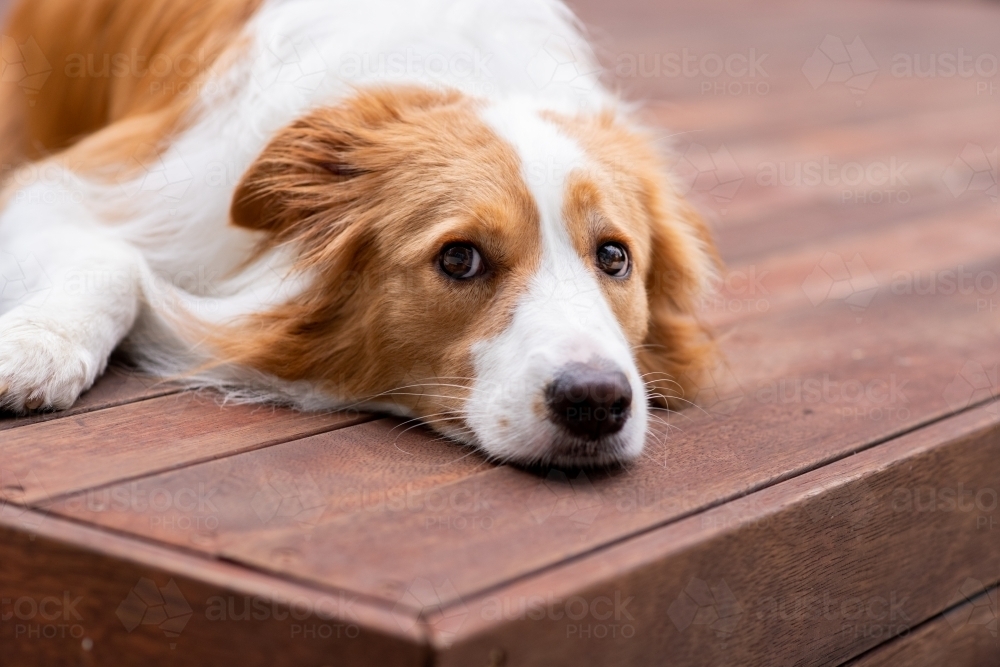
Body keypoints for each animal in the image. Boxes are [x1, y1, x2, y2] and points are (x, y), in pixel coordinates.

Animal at [0, 0, 720, 464]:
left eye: (614, 257)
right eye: (459, 259)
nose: (597, 402)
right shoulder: (96, 184)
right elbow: (114, 262)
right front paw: (37, 347)